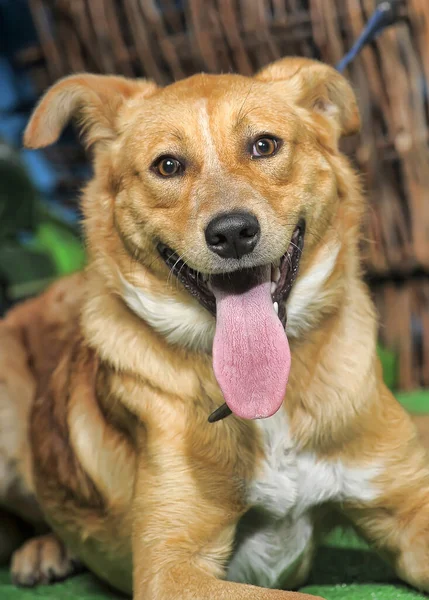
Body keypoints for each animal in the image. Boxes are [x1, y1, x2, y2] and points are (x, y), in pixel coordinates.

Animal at [0, 57, 428, 600]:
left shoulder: (408, 504)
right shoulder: (171, 568)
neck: (272, 408)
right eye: (167, 165)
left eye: (264, 145)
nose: (232, 233)